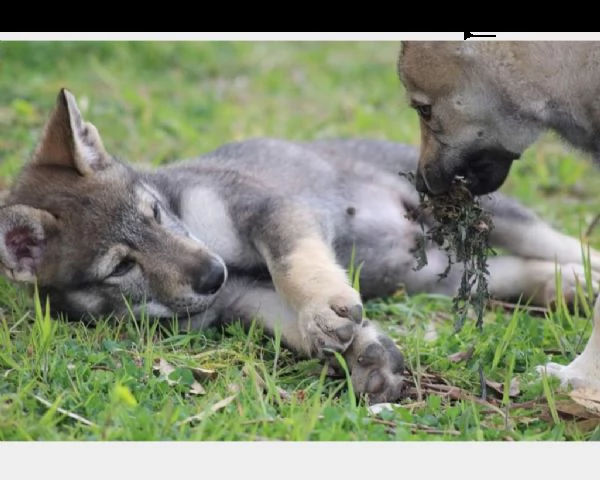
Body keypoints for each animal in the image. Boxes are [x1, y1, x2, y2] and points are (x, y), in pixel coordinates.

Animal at [1, 89, 600, 402]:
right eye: (121, 267)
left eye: (153, 211)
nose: (212, 275)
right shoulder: (244, 300)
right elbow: (298, 327)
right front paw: (364, 356)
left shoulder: (271, 210)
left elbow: (296, 267)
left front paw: (325, 309)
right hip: (439, 278)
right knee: (528, 273)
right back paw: (569, 291)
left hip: (496, 222)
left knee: (566, 245)